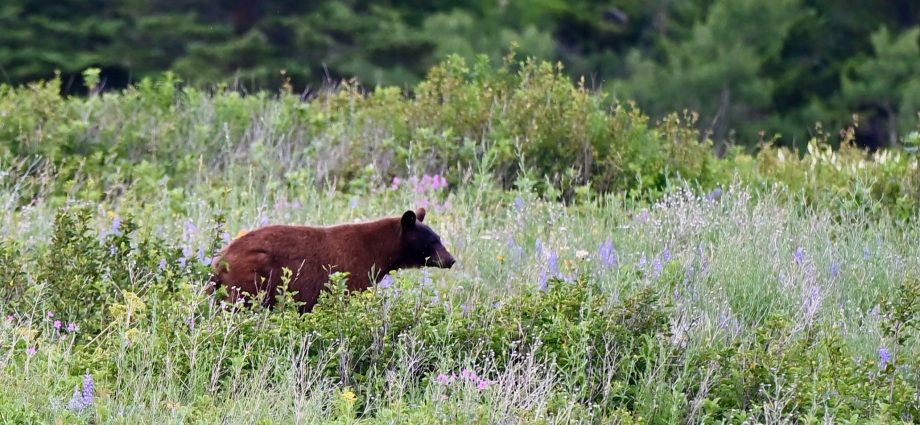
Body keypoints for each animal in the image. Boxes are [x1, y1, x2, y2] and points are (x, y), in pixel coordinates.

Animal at [207, 207, 455, 313]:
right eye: (433, 241)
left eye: (438, 238)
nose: (450, 260)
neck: (379, 250)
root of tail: (220, 262)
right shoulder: (354, 272)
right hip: (251, 278)